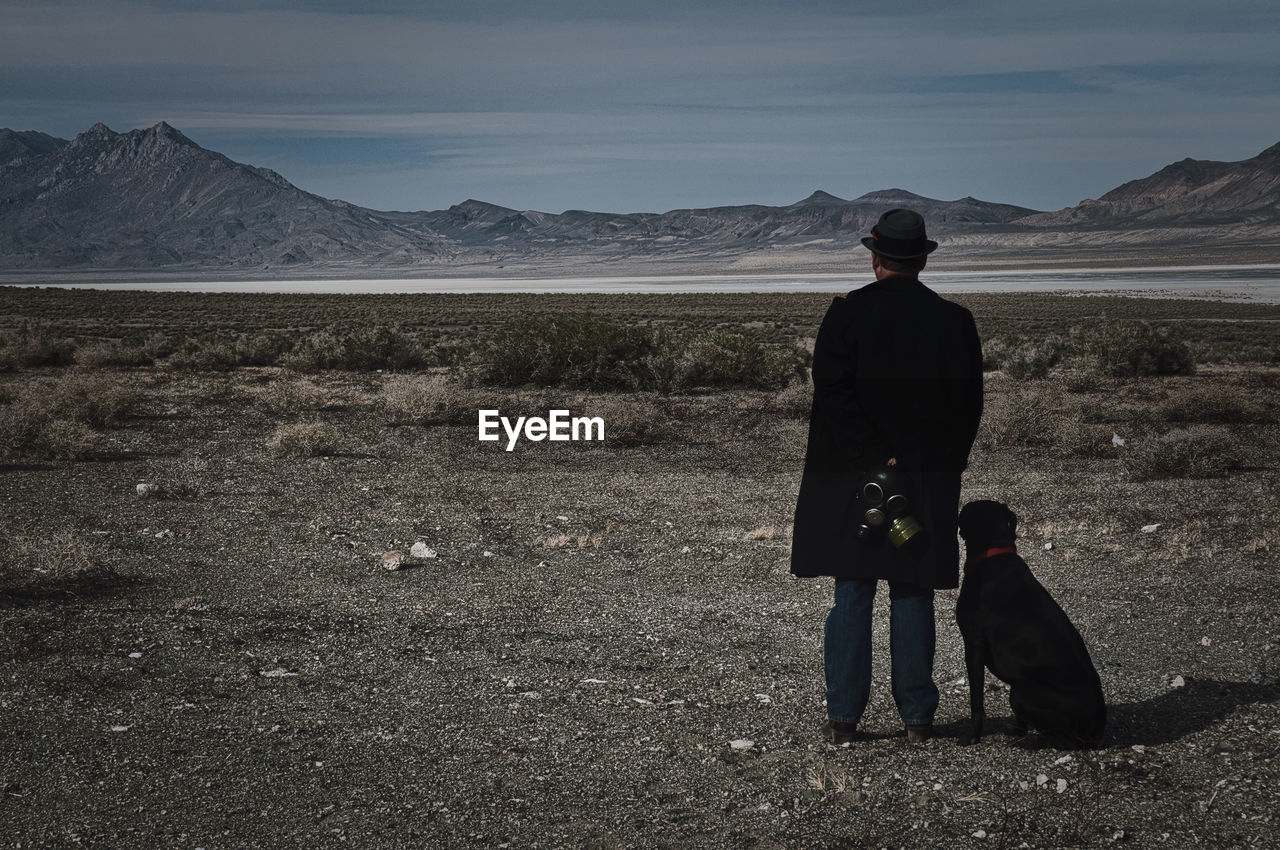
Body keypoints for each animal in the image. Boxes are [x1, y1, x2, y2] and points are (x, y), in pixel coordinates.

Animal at [957, 501, 1105, 747]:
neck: (994, 551)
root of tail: (1097, 726)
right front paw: (1018, 731)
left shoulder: (974, 644)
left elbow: (976, 700)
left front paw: (972, 736)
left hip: (1021, 691)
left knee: (1065, 739)